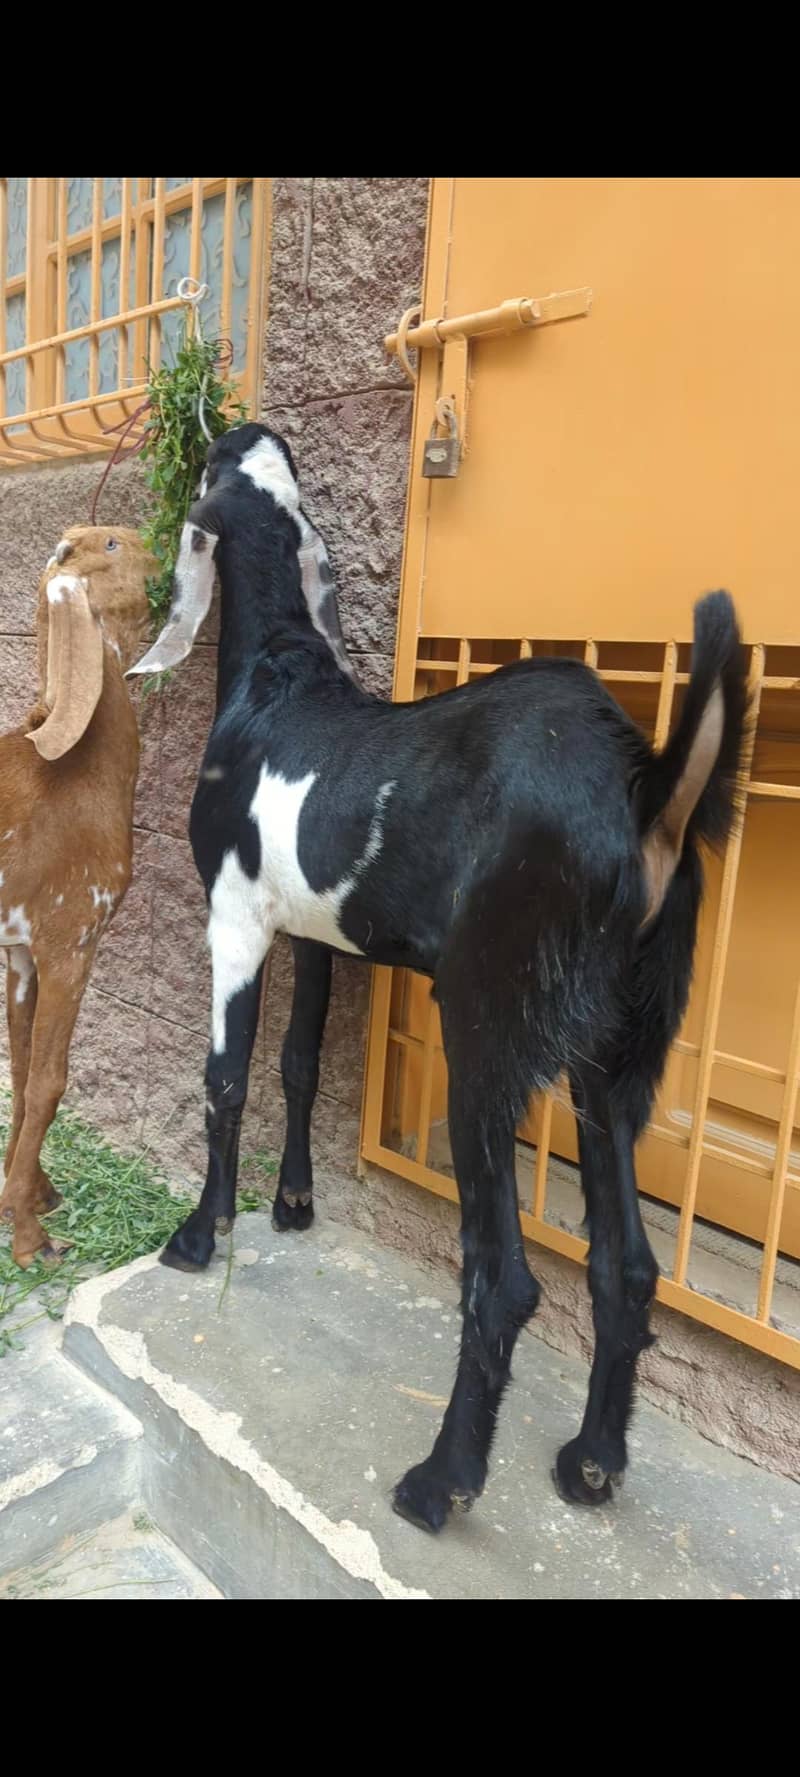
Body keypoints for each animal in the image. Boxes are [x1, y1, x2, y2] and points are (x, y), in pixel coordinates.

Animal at [128, 422, 749, 1533]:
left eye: (212, 467)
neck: (278, 675)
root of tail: (644, 791)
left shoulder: (234, 917)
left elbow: (227, 1080)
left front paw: (201, 1235)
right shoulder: (319, 933)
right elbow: (297, 1064)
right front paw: (294, 1204)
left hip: (484, 1027)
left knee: (503, 1278)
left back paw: (440, 1480)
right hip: (614, 1047)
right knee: (626, 1263)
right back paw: (591, 1461)